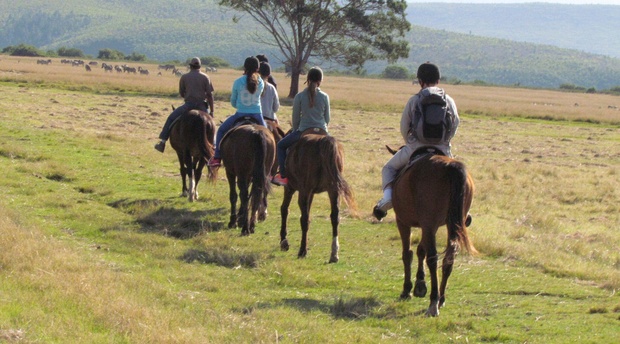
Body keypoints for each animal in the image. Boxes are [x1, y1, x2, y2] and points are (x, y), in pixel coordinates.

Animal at [278, 130, 356, 264]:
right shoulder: (312, 193)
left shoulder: (290, 188)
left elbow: (285, 210)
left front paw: (284, 242)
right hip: (333, 190)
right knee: (335, 217)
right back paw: (334, 254)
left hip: (304, 190)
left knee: (304, 219)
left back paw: (302, 251)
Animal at [390, 145, 478, 318]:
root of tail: (450, 166)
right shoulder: (430, 226)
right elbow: (420, 250)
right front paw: (420, 284)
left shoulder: (404, 222)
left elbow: (408, 254)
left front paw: (407, 289)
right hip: (450, 225)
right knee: (449, 257)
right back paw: (441, 298)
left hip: (426, 223)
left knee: (433, 258)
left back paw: (433, 302)